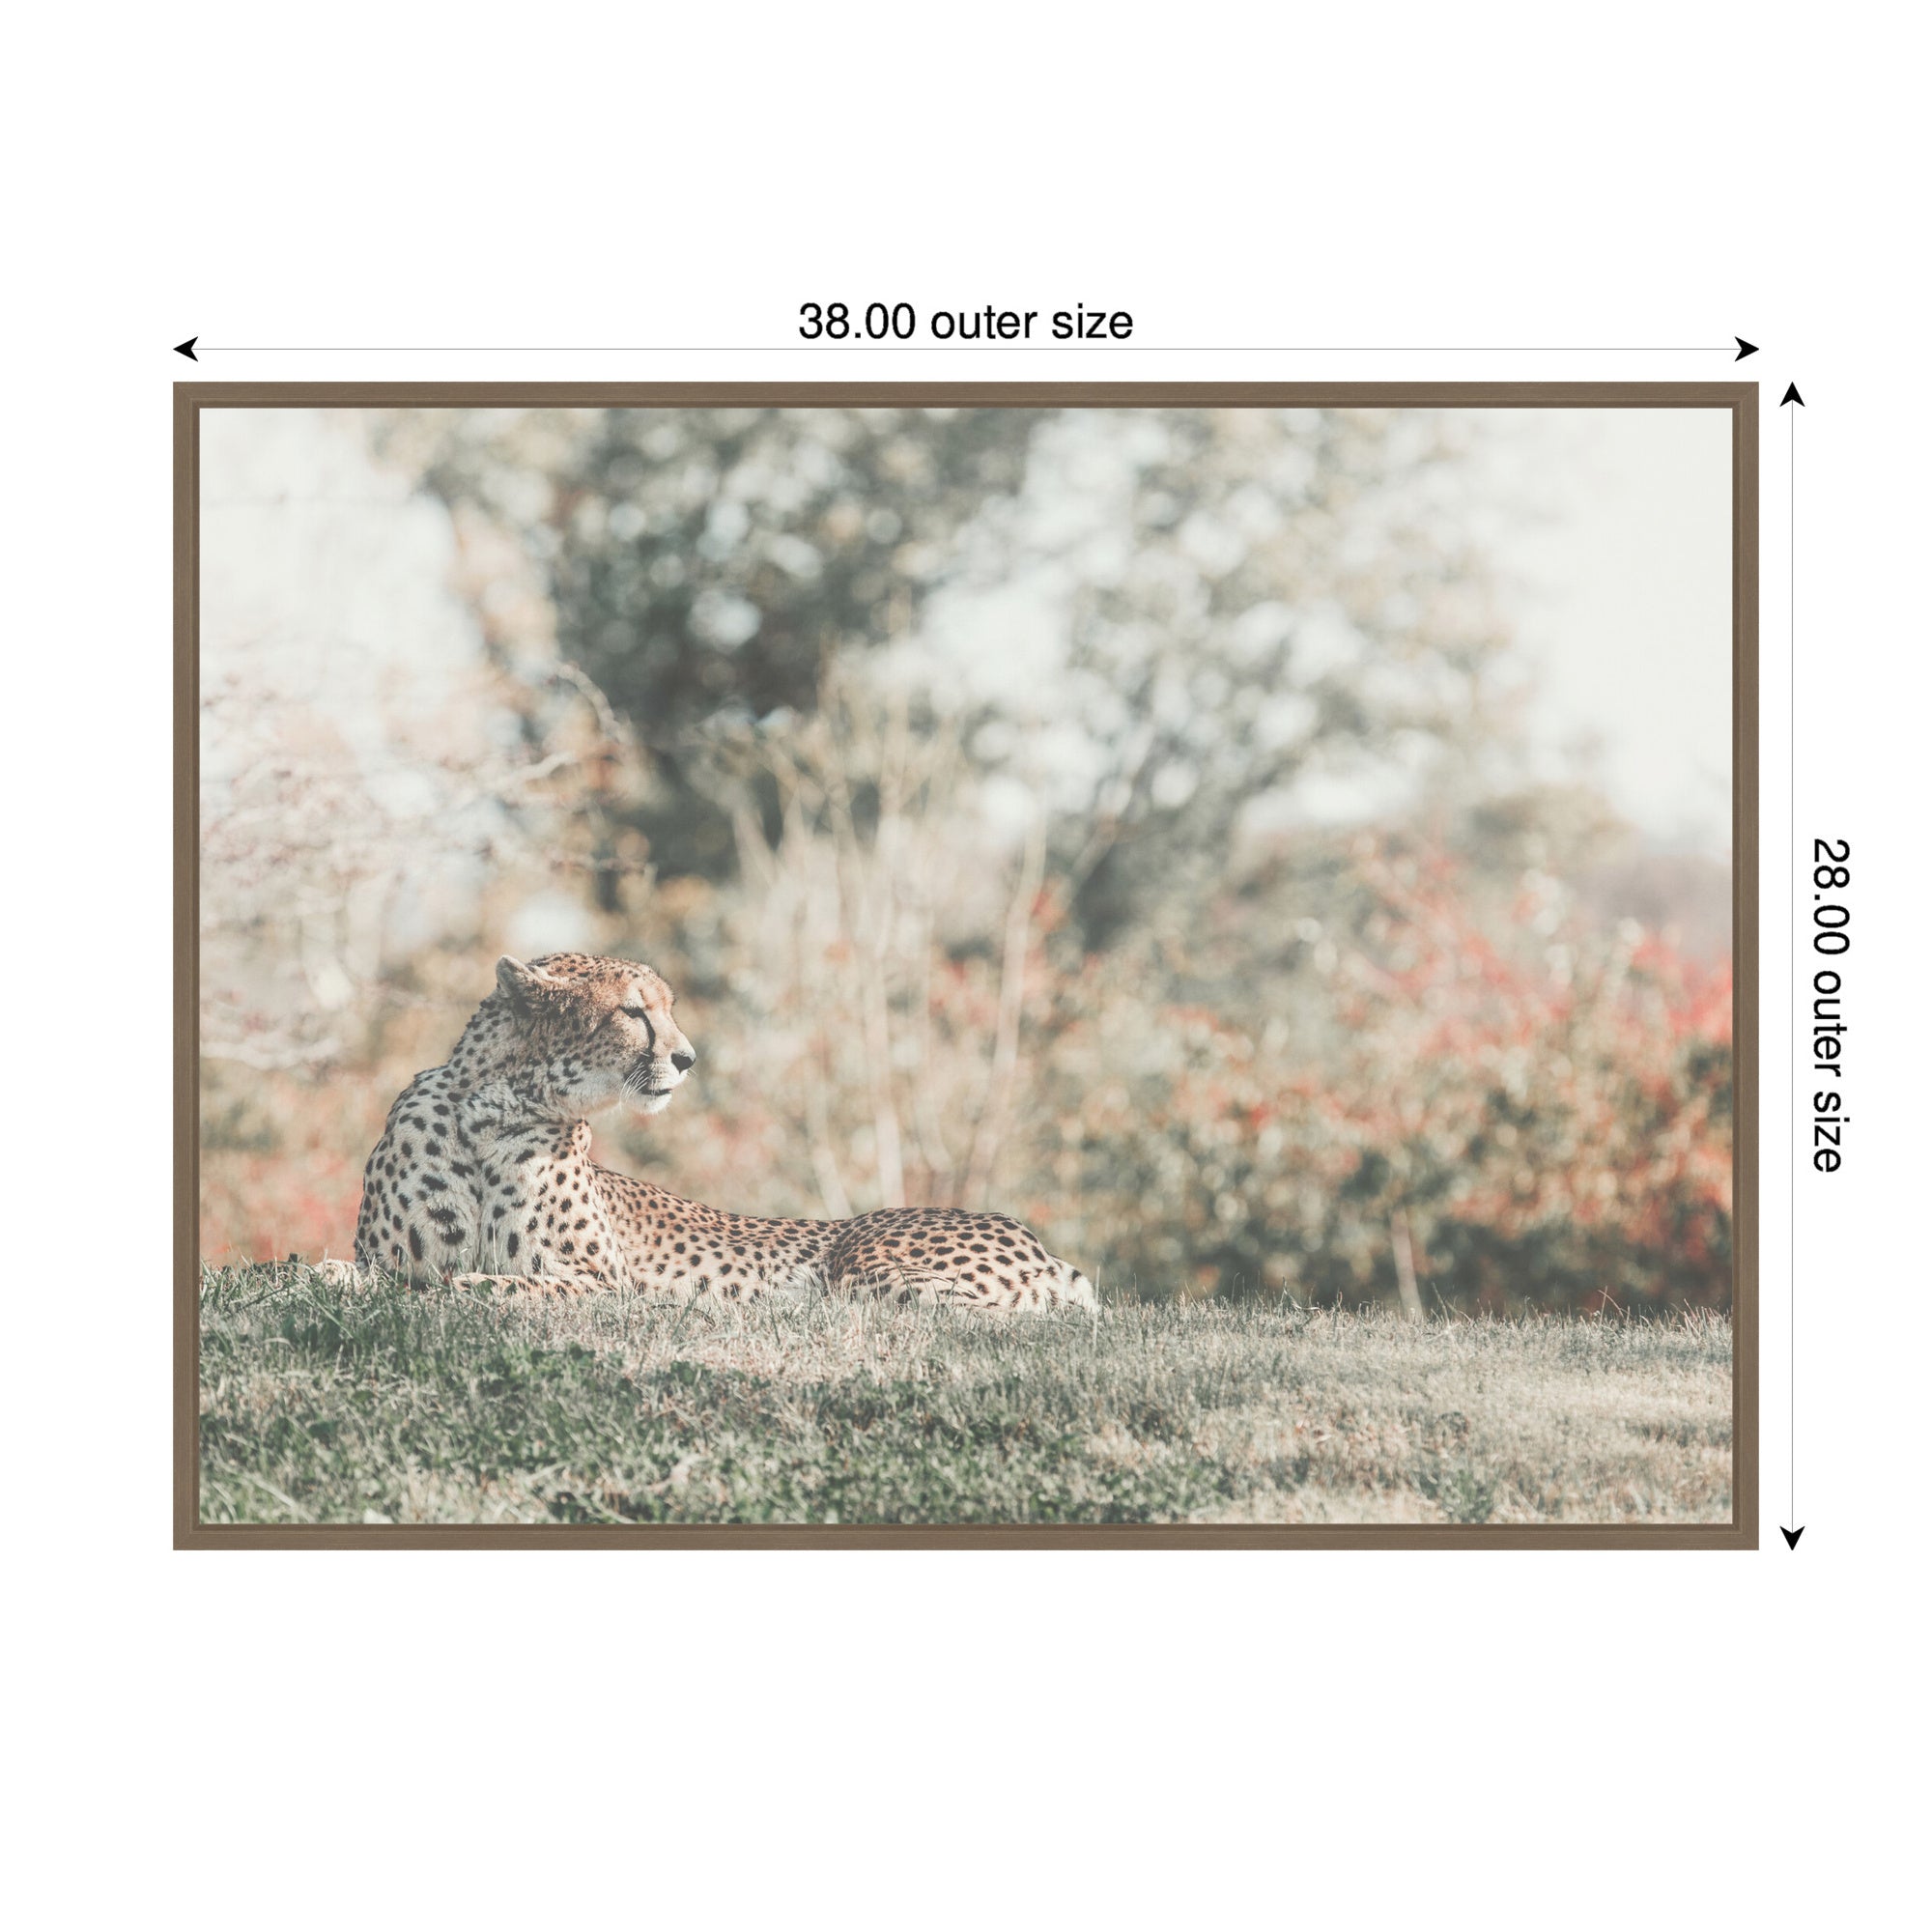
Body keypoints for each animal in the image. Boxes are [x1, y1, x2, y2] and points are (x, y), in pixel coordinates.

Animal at [350, 952, 1098, 1312]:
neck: (494, 1109)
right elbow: (368, 1276)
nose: (687, 1058)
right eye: (634, 1012)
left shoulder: (604, 1285)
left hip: (865, 1266)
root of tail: (1039, 1242)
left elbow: (485, 1285)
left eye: (667, 1009)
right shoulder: (383, 1260)